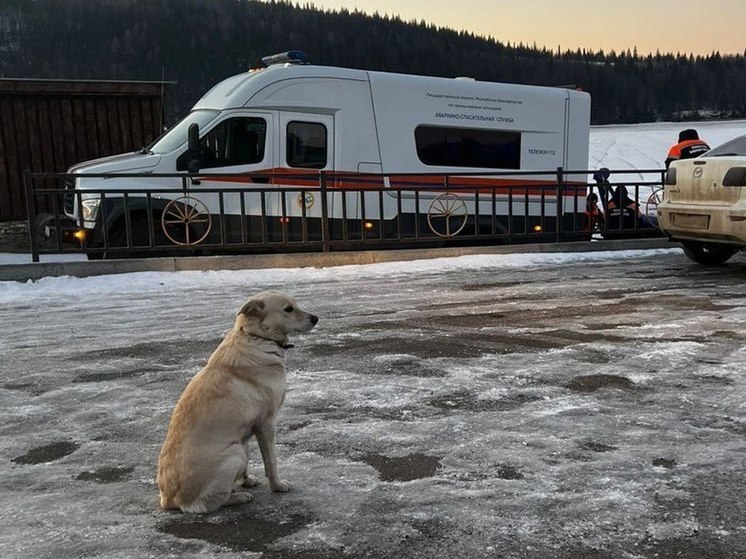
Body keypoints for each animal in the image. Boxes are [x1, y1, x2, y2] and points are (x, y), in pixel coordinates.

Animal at [155, 290, 318, 516]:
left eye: (296, 305)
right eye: (288, 309)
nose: (315, 318)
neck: (256, 337)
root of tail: (168, 499)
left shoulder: (246, 431)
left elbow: (251, 462)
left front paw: (246, 480)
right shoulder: (267, 423)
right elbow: (271, 462)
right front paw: (277, 486)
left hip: (238, 447)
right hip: (234, 454)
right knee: (207, 504)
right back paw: (238, 497)